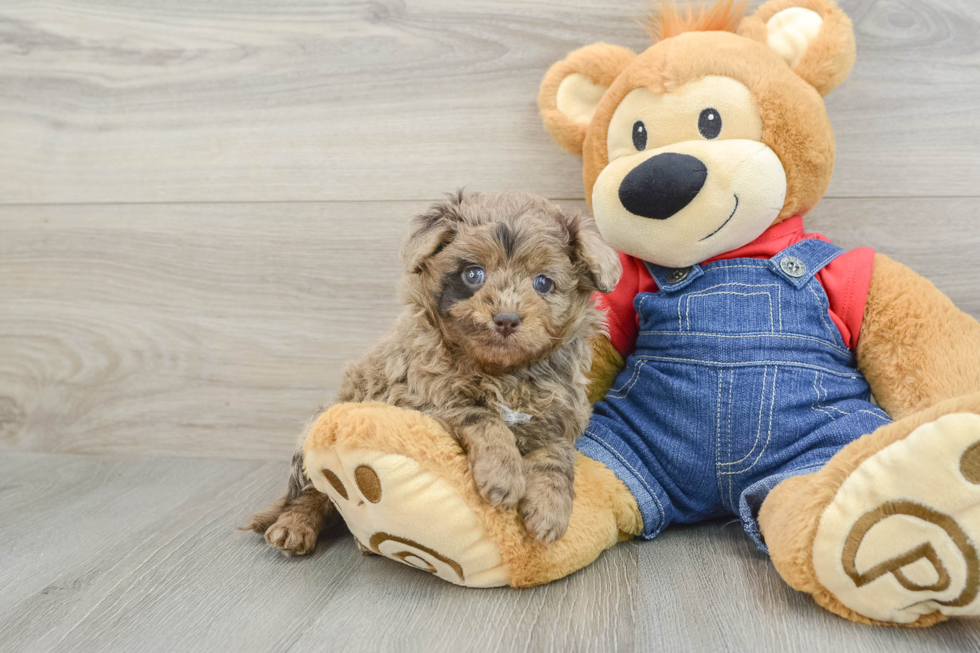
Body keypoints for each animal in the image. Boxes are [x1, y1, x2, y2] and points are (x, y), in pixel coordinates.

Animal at [249, 190, 624, 556]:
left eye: (543, 283)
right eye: (473, 274)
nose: (506, 319)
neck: (502, 371)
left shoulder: (556, 417)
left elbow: (556, 457)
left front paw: (550, 511)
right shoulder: (424, 398)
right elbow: (483, 417)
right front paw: (504, 476)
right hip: (317, 431)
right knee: (312, 492)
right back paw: (294, 527)